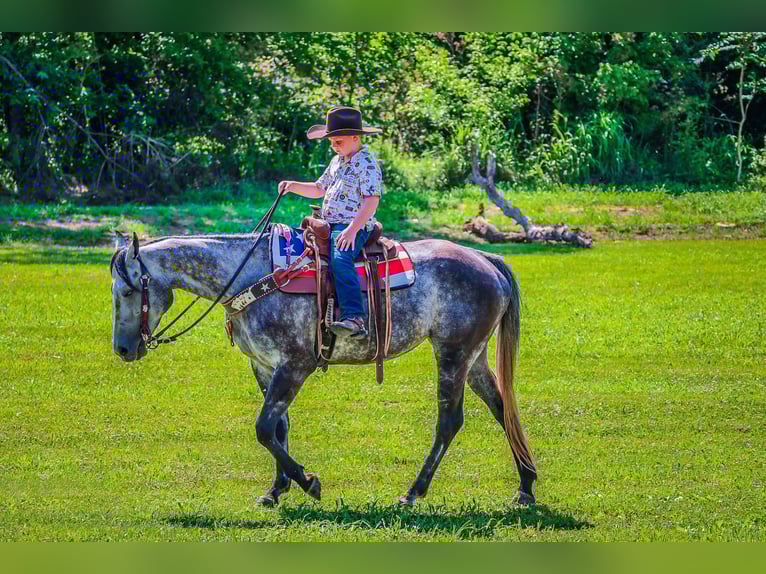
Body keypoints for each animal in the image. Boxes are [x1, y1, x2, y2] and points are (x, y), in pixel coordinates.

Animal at [110, 230, 537, 507]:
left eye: (128, 290)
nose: (123, 349)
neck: (252, 277)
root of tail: (486, 259)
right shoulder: (263, 365)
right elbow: (278, 429)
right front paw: (276, 490)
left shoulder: (296, 365)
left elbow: (263, 428)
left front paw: (308, 483)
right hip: (474, 357)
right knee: (502, 409)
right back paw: (526, 486)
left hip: (453, 353)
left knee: (449, 422)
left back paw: (413, 492)